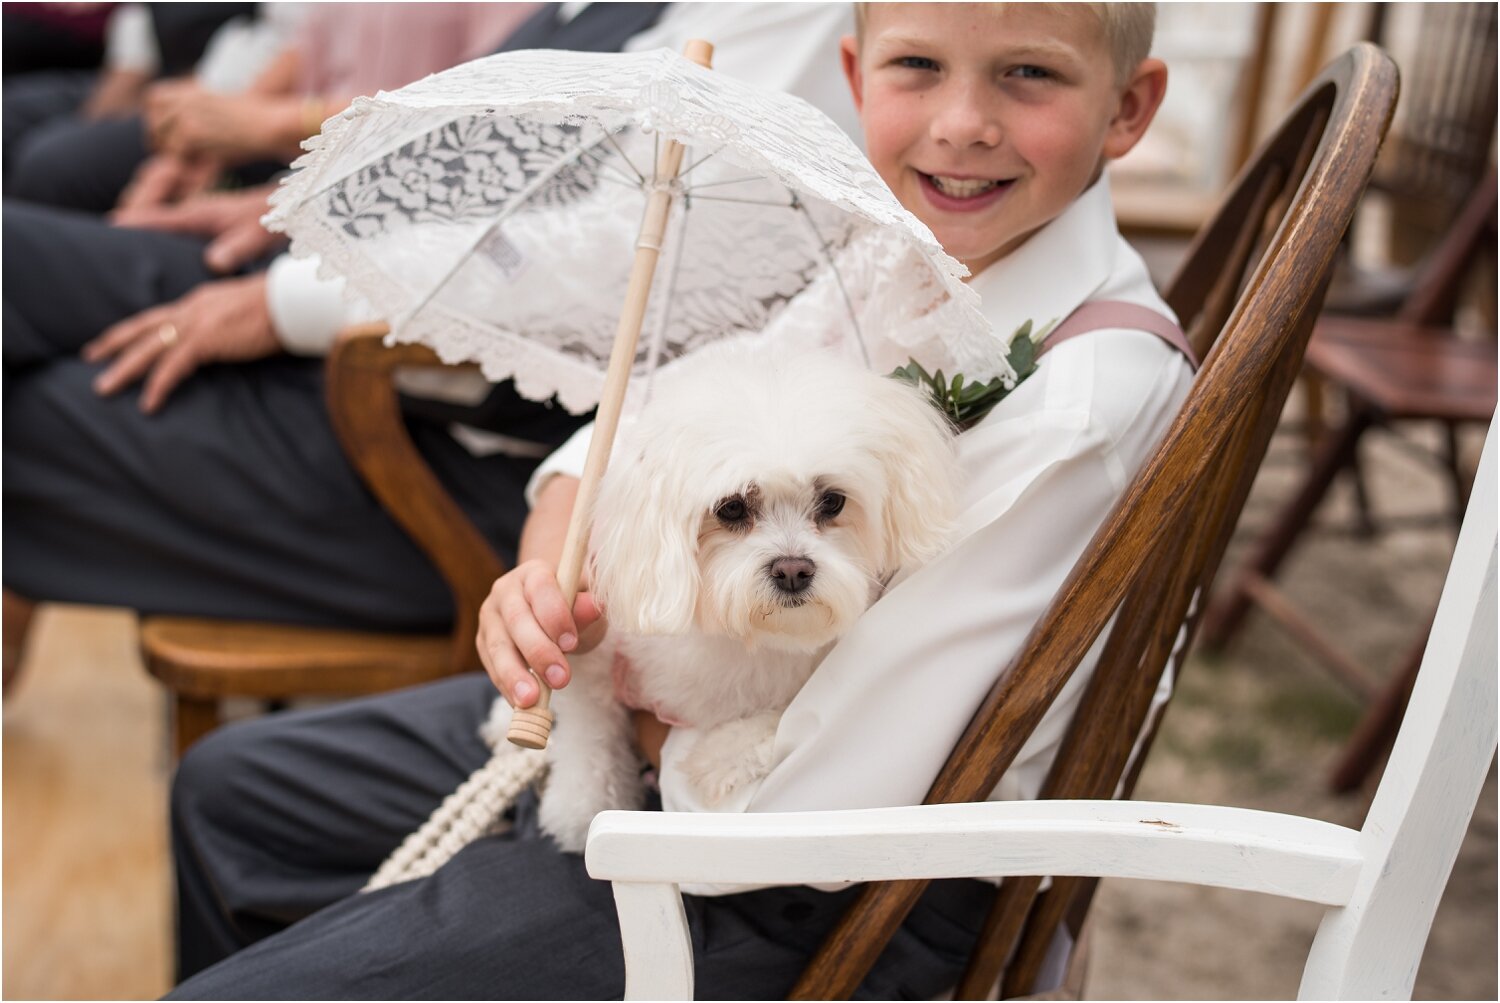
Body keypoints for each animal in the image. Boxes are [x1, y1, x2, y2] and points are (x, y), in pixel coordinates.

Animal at [486, 341, 954, 845]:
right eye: (731, 508)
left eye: (832, 501)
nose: (793, 571)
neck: (744, 637)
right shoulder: (596, 651)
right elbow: (587, 731)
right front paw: (577, 806)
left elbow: (782, 723)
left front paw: (719, 757)